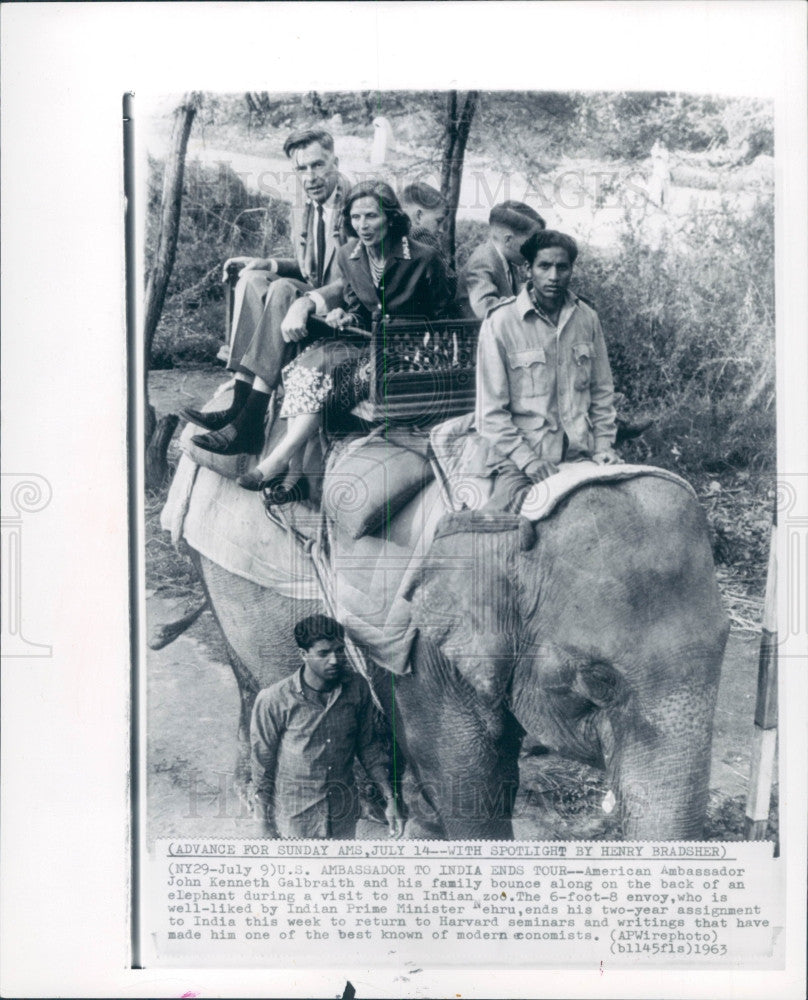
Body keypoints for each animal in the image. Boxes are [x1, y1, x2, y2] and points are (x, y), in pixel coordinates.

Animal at [161, 442, 728, 840]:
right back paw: (259, 801)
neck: (514, 515)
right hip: (224, 575)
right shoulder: (425, 645)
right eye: (598, 681)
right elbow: (468, 781)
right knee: (255, 679)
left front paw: (422, 824)